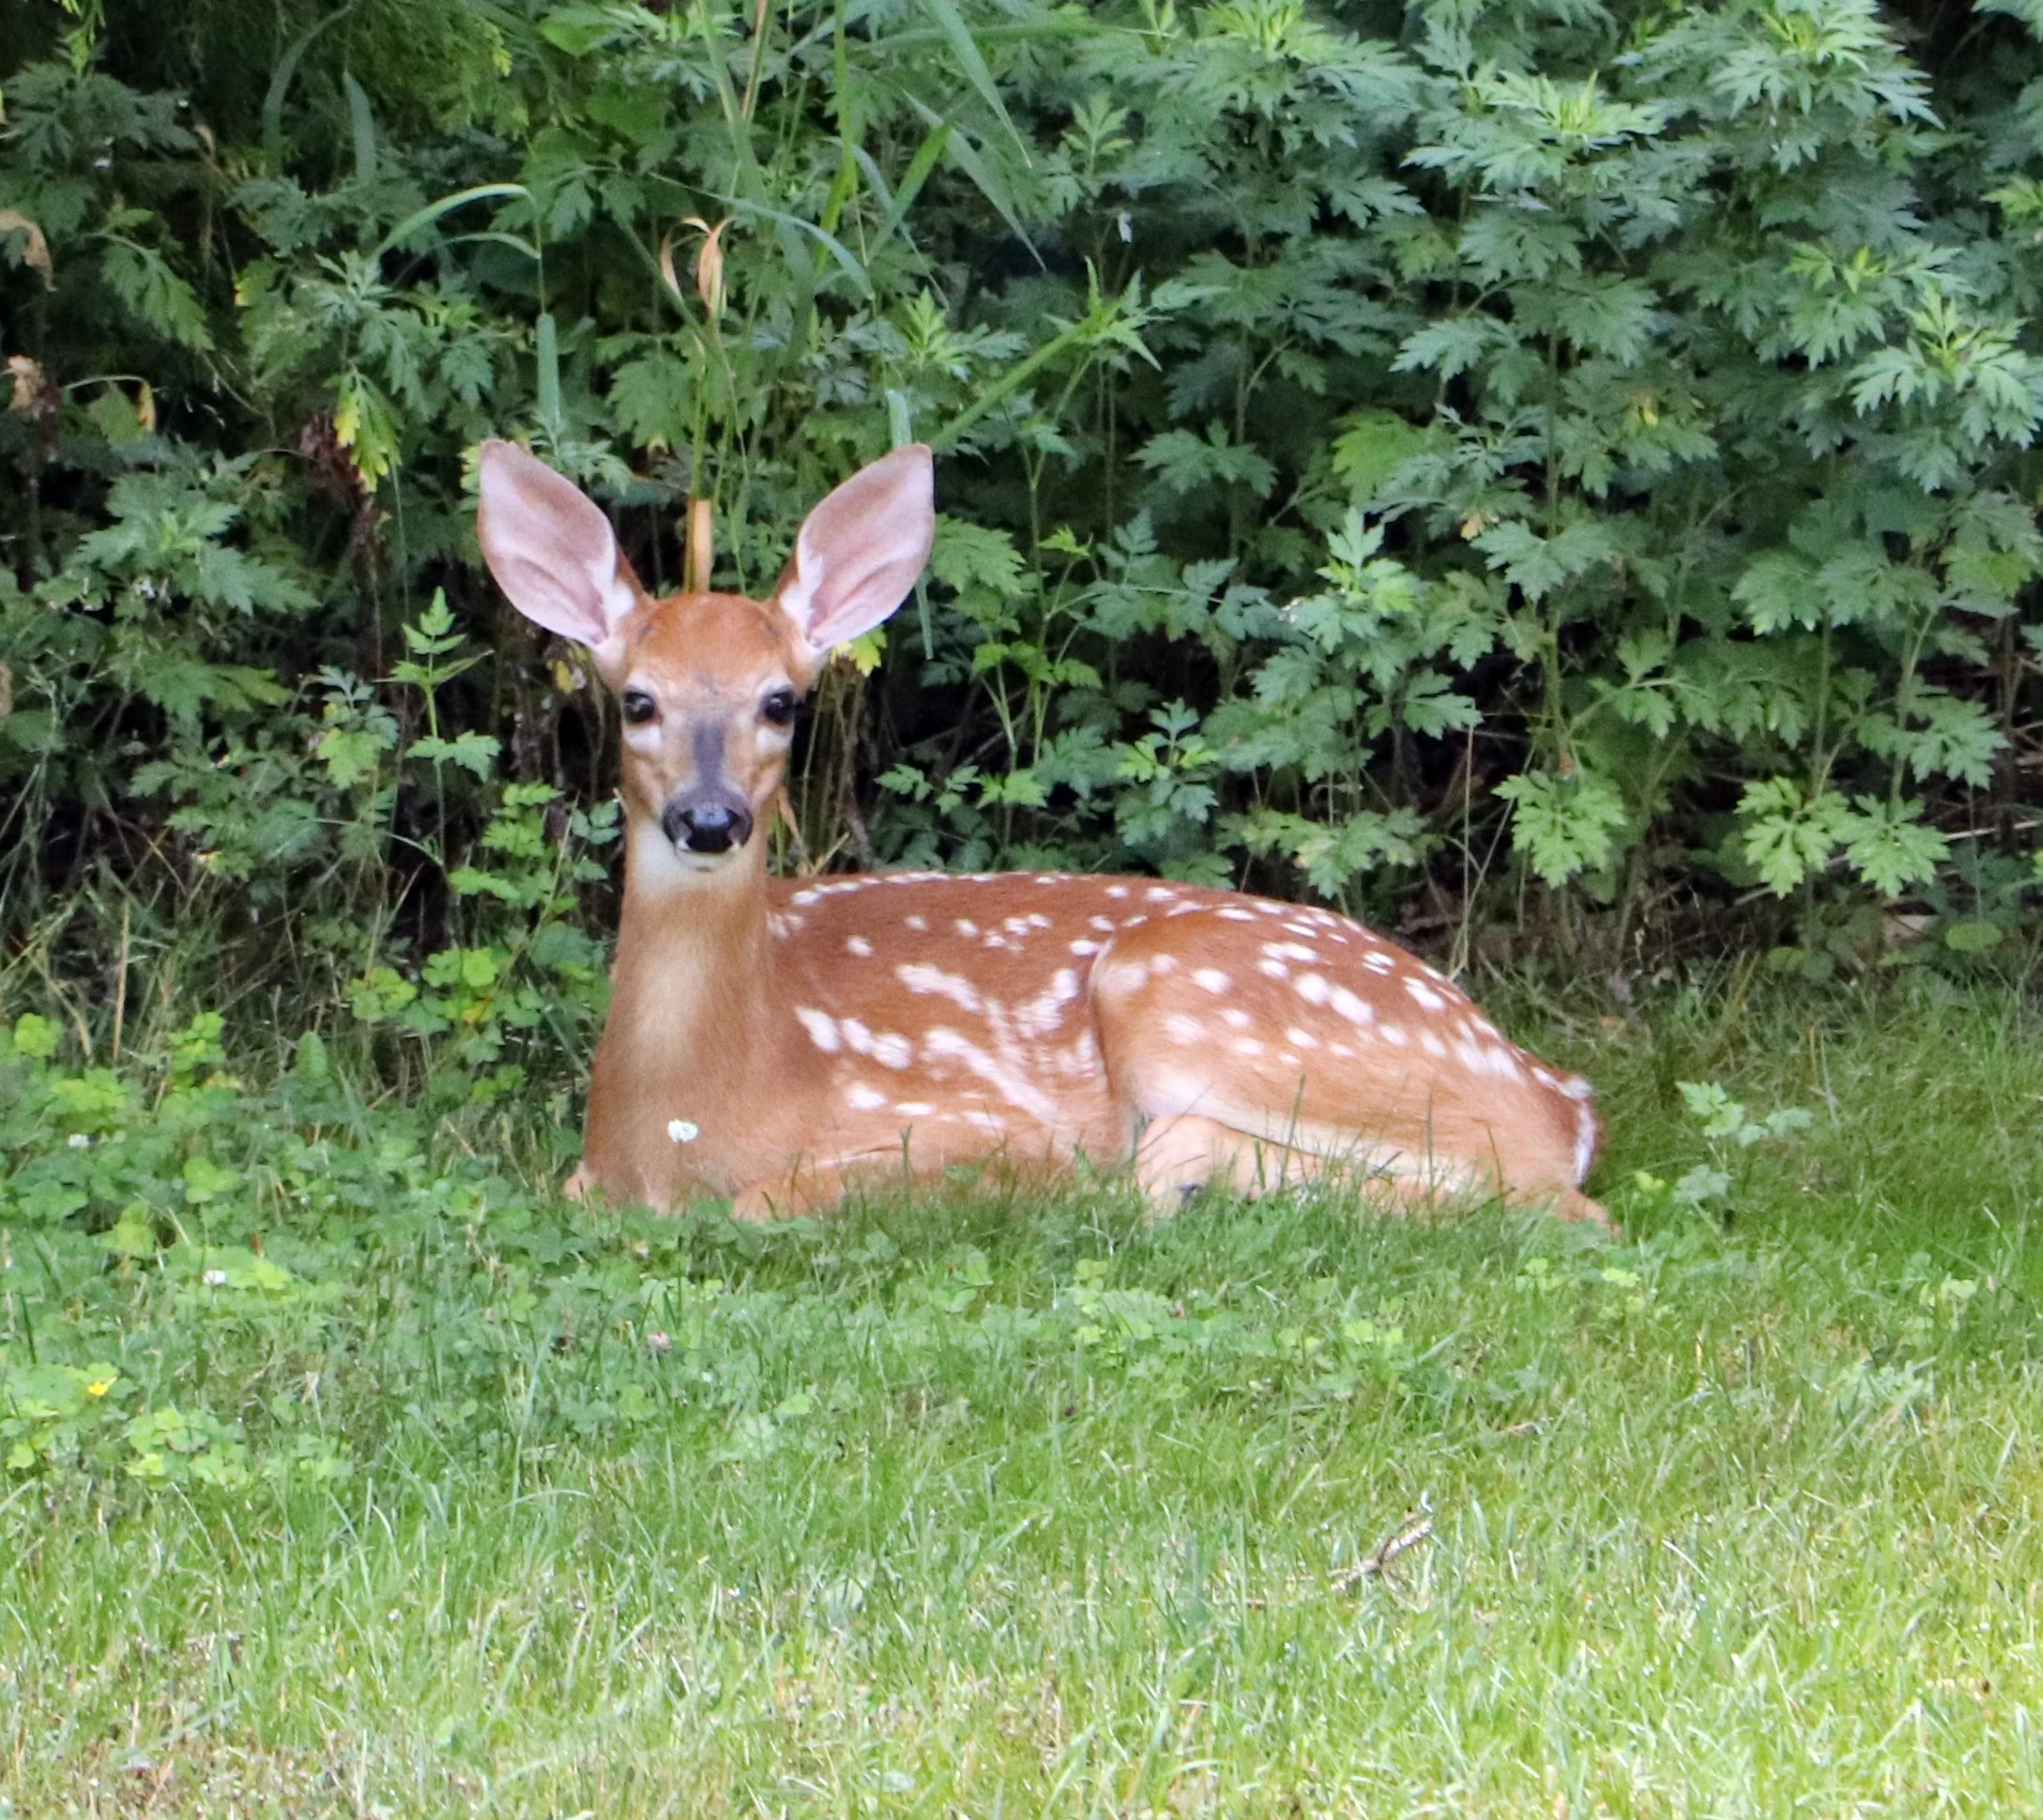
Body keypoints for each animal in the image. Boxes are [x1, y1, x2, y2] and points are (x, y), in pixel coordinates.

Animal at [475, 437, 1607, 1226]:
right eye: (637, 700)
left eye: (780, 702)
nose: (709, 817)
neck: (678, 1126)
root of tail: (1564, 1096)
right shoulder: (584, 1180)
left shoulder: (977, 1123)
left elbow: (769, 1200)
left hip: (1181, 999)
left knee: (1559, 1201)